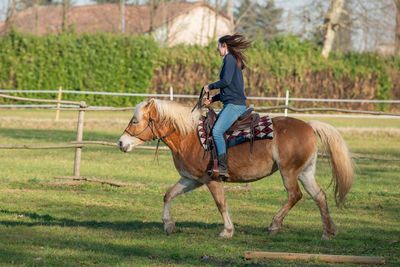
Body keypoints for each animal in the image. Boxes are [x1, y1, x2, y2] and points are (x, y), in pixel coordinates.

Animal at [118, 99, 354, 241]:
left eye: (135, 120)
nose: (121, 143)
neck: (190, 136)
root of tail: (309, 126)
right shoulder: (191, 179)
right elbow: (168, 195)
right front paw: (168, 224)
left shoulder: (211, 180)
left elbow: (221, 203)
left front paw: (227, 230)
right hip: (305, 173)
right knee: (319, 196)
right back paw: (328, 231)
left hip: (289, 172)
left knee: (295, 195)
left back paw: (274, 225)